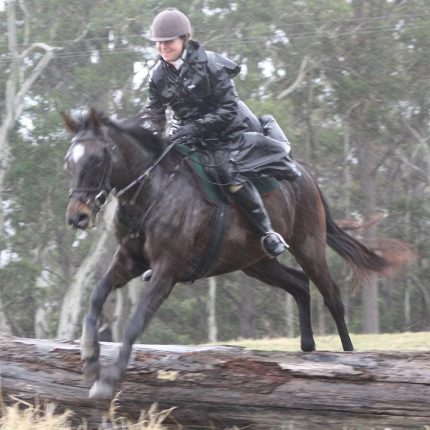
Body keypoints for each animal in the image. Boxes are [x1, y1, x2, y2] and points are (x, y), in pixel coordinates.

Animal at [63, 109, 390, 398]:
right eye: (69, 161)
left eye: (97, 158)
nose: (77, 217)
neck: (151, 192)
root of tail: (305, 175)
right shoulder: (128, 260)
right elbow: (96, 296)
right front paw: (89, 359)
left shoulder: (167, 270)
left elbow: (135, 322)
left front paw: (108, 379)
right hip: (255, 263)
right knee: (299, 284)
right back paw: (308, 347)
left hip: (308, 246)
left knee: (332, 295)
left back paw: (350, 355)